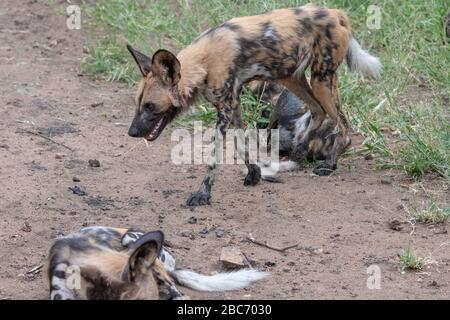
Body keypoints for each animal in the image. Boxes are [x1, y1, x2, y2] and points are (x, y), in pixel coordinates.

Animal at [125, 5, 380, 206]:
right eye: (138, 104)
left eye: (150, 106)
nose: (132, 132)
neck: (203, 63)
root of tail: (335, 13)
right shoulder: (233, 105)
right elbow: (241, 144)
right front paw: (253, 173)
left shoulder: (225, 110)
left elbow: (213, 157)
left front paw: (203, 194)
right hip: (295, 78)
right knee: (319, 111)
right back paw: (300, 149)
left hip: (321, 81)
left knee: (341, 125)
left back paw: (330, 164)